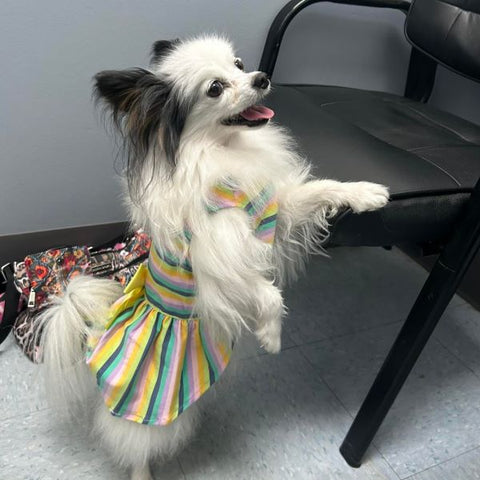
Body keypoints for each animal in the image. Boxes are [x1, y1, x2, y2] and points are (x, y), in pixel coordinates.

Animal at [38, 35, 390, 478]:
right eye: (215, 89)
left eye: (238, 64)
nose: (261, 77)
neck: (225, 152)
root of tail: (92, 348)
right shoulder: (220, 257)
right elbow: (268, 293)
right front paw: (272, 336)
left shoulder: (277, 215)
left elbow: (321, 188)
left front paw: (368, 193)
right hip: (147, 413)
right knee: (134, 445)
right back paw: (142, 471)